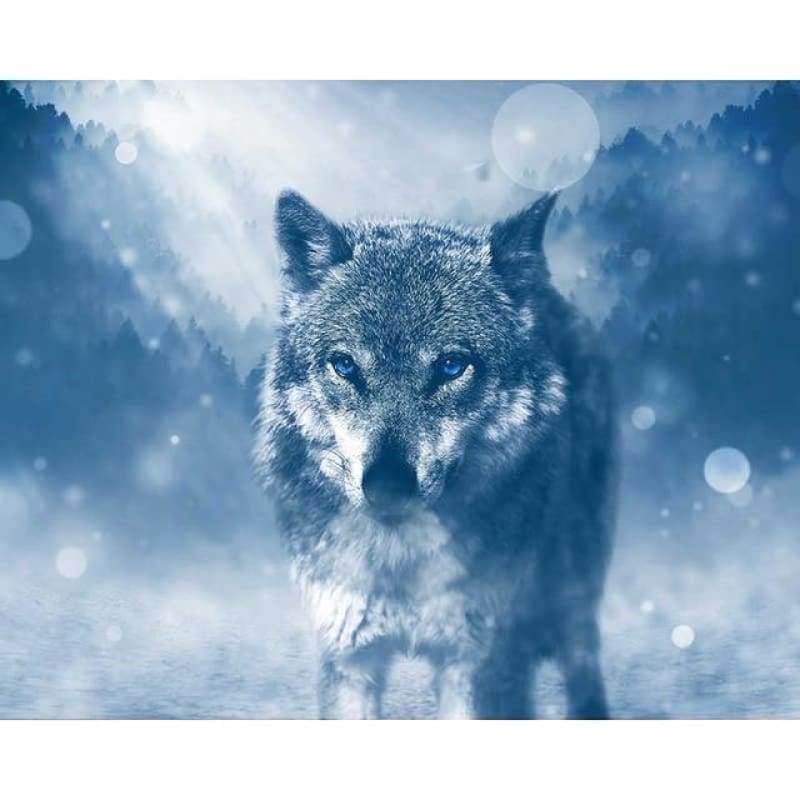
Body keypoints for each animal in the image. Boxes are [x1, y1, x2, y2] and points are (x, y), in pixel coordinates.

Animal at [254, 190, 618, 719]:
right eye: (344, 365)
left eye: (450, 366)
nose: (387, 485)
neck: (401, 561)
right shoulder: (349, 655)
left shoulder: (477, 662)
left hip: (573, 585)